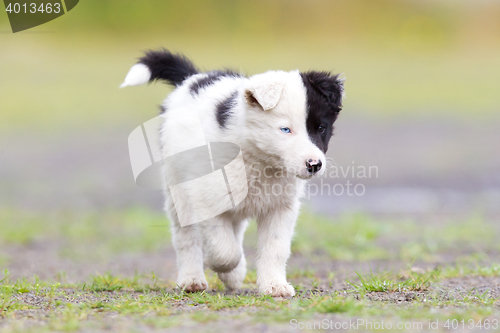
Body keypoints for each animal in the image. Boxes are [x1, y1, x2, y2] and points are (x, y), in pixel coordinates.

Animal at [121, 50, 344, 296]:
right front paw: (225, 267)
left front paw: (274, 285)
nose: (314, 164)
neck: (258, 160)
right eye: (285, 129)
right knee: (185, 237)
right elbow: (224, 250)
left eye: (321, 128)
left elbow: (275, 247)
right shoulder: (207, 197)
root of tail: (193, 78)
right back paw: (192, 279)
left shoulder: (281, 207)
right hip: (177, 190)